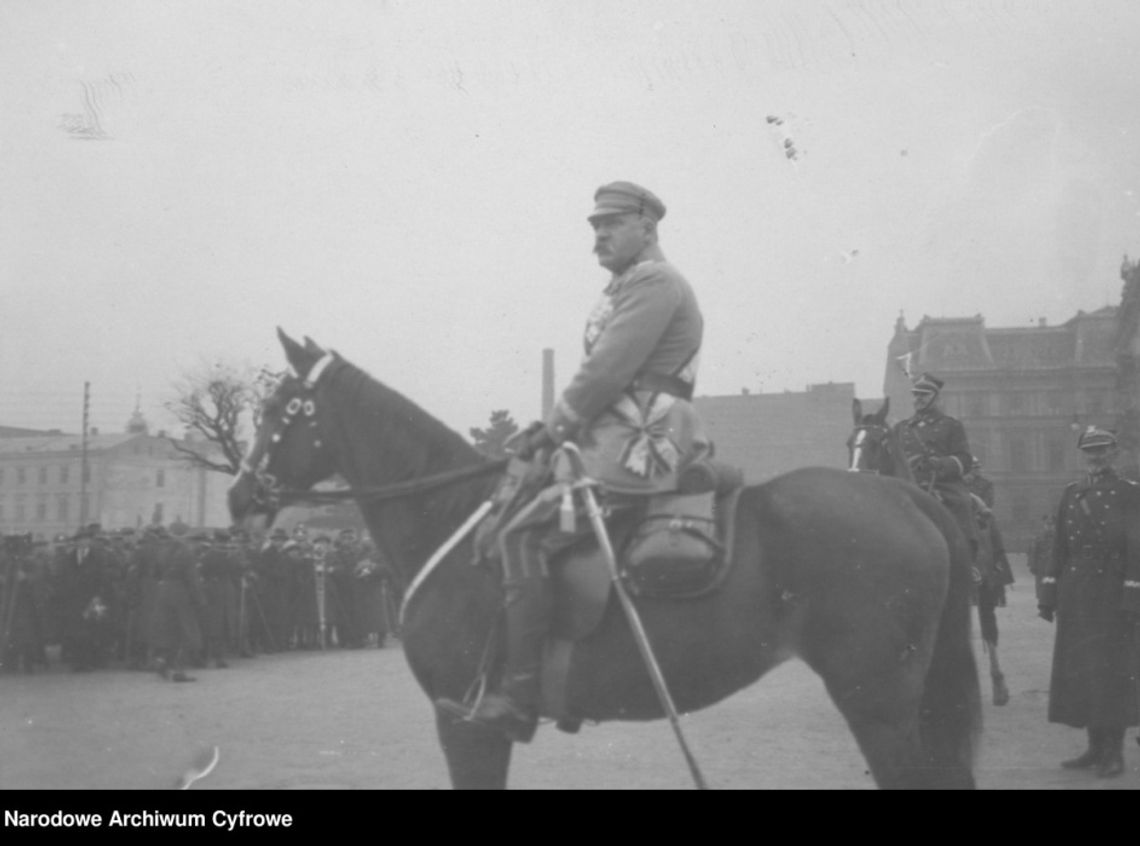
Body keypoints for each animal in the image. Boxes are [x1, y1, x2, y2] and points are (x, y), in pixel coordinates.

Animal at [229, 330, 980, 788]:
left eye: (279, 408)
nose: (238, 495)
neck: (451, 518)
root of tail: (902, 494)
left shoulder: (462, 722)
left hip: (876, 701)